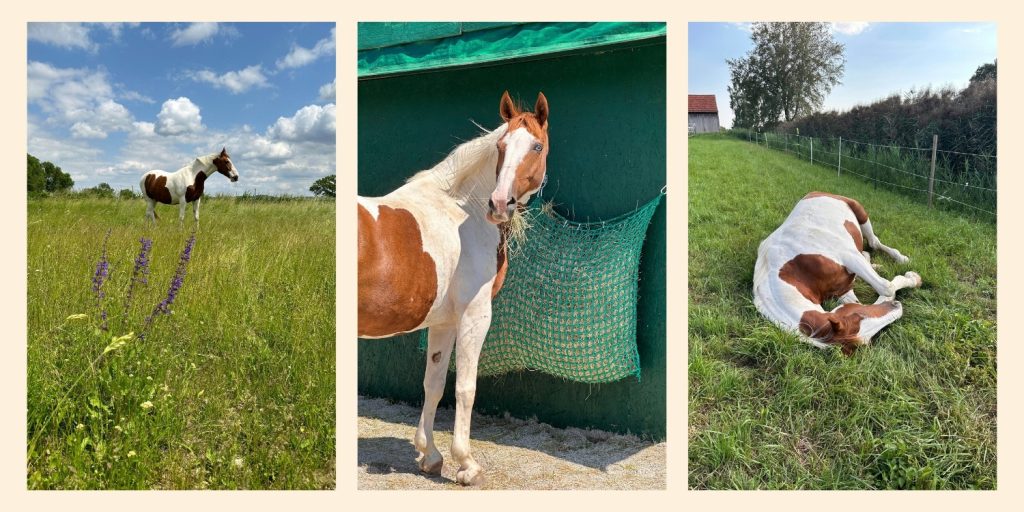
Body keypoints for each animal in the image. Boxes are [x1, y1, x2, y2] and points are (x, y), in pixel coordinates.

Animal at [357, 91, 550, 486]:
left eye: (536, 145)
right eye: (502, 145)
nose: (500, 204)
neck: (463, 214)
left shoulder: (443, 322)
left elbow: (432, 384)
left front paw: (429, 456)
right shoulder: (475, 315)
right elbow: (465, 387)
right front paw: (466, 464)